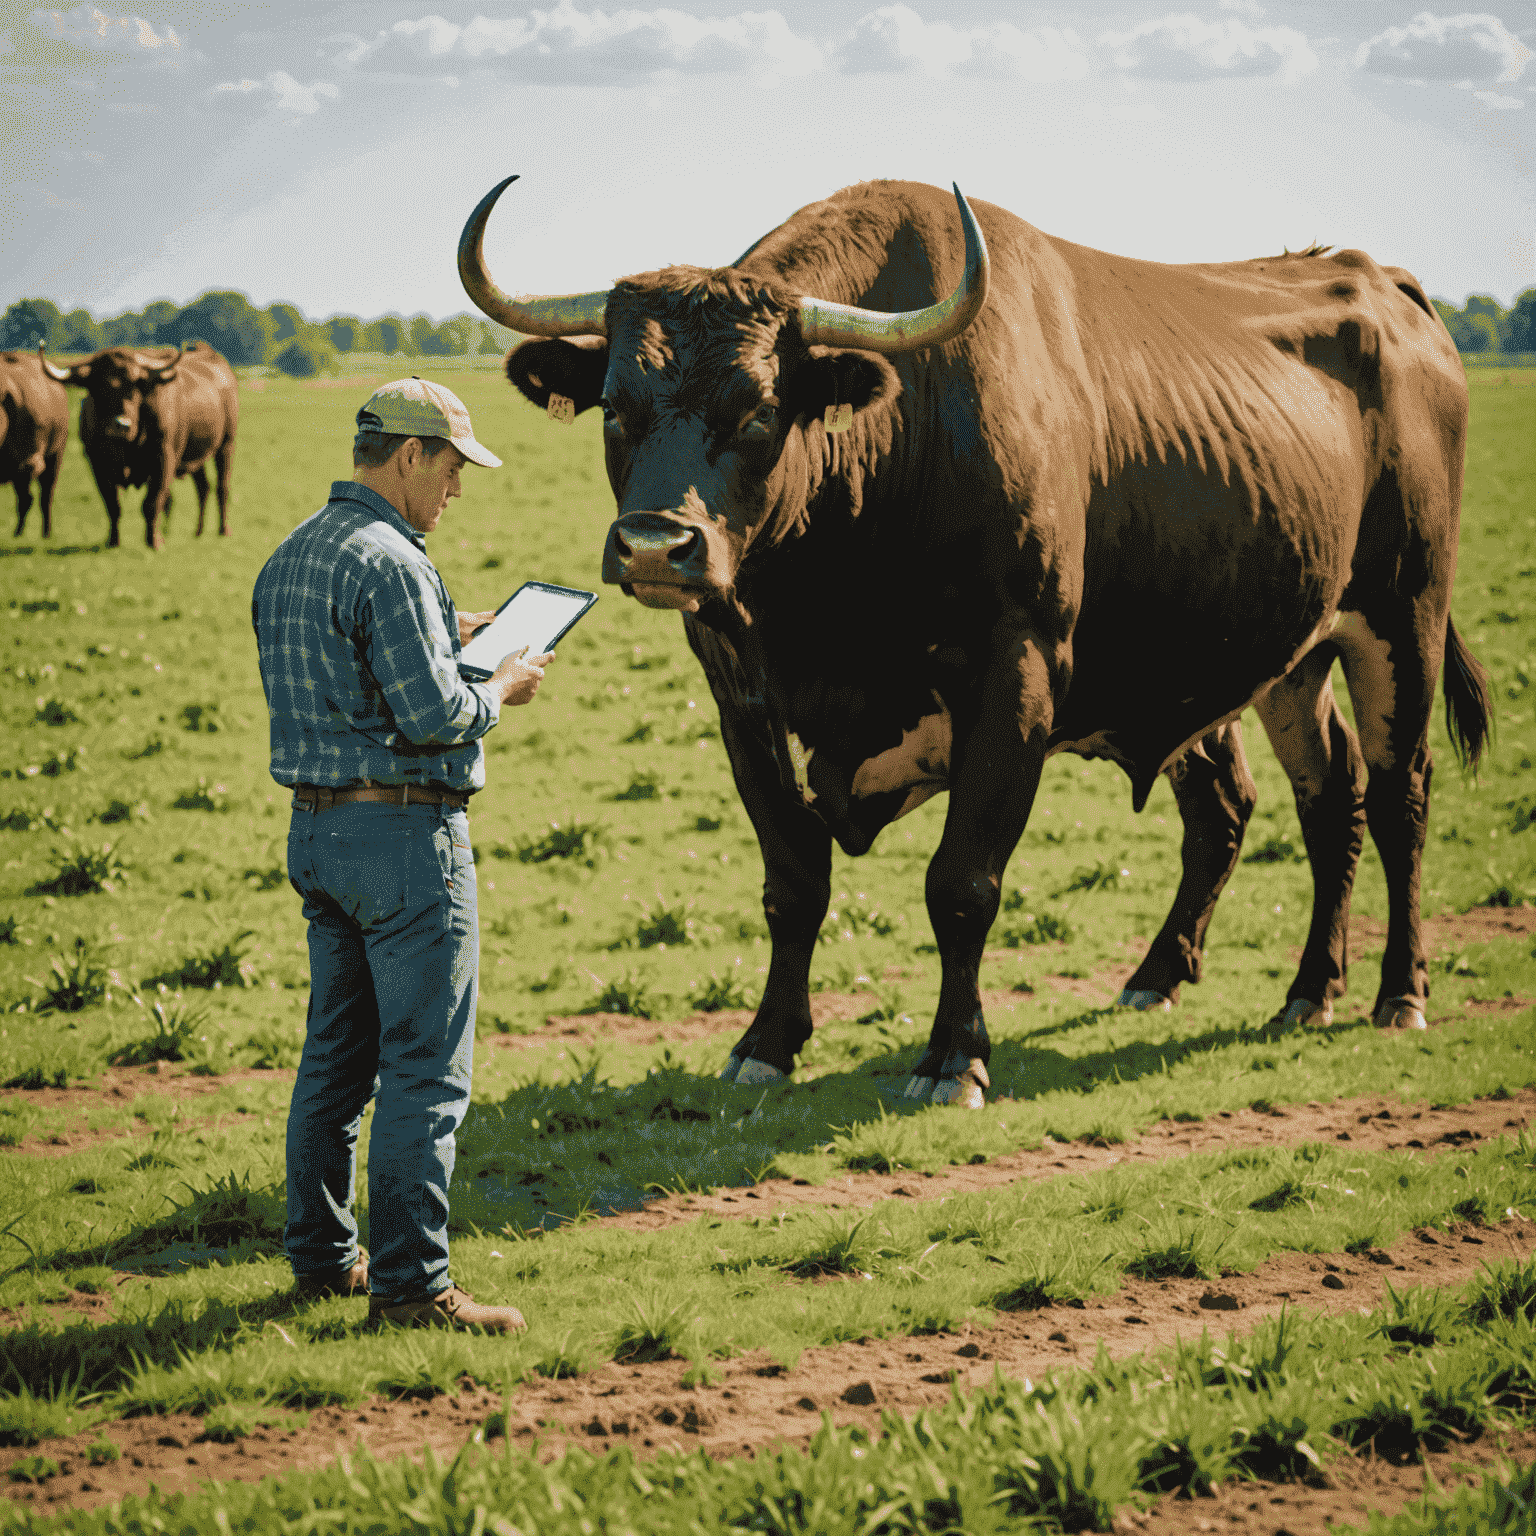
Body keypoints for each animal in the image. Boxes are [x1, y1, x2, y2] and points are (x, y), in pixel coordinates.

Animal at [40, 342, 239, 552]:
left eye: (135, 387)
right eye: (99, 387)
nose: (120, 425)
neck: (128, 445)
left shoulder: (164, 460)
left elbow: (152, 503)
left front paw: (154, 542)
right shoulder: (97, 464)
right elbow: (112, 504)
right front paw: (113, 541)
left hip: (226, 444)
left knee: (222, 487)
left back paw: (223, 530)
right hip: (194, 456)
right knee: (203, 487)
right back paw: (198, 531)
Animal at [454, 174, 1486, 1112]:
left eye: (758, 410)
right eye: (616, 407)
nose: (656, 546)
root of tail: (1383, 284)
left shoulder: (1016, 679)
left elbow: (963, 884)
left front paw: (953, 1058)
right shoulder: (742, 699)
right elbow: (794, 879)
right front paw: (767, 1044)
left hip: (1402, 620)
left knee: (1399, 796)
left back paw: (1397, 993)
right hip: (1280, 657)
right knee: (1301, 799)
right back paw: (1264, 983)